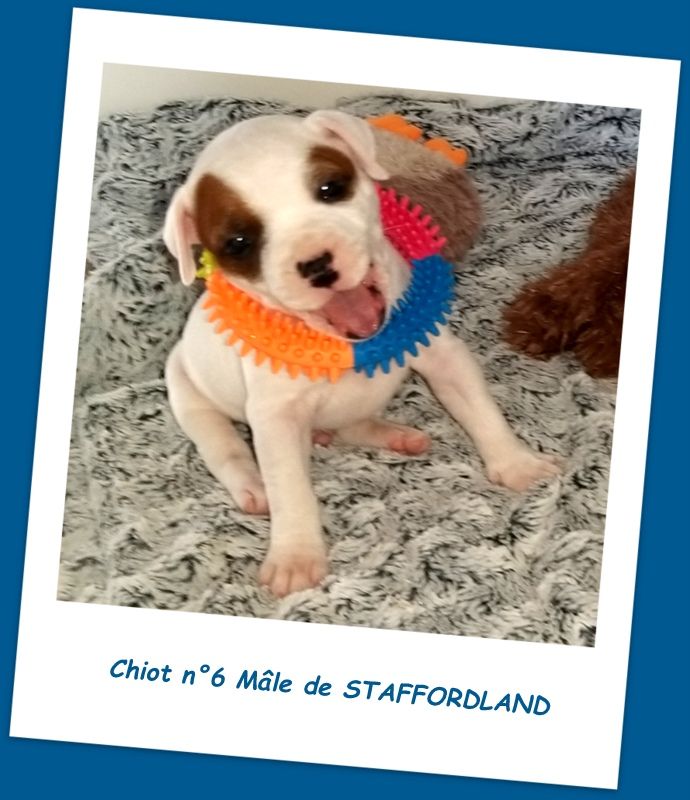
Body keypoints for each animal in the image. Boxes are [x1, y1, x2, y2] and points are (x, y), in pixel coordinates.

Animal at [164, 110, 560, 597]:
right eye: (239, 243)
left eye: (330, 188)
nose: (316, 265)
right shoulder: (276, 418)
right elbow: (290, 488)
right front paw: (295, 556)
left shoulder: (443, 357)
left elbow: (481, 411)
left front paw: (518, 464)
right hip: (189, 394)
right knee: (226, 450)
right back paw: (253, 486)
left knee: (354, 424)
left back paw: (396, 437)